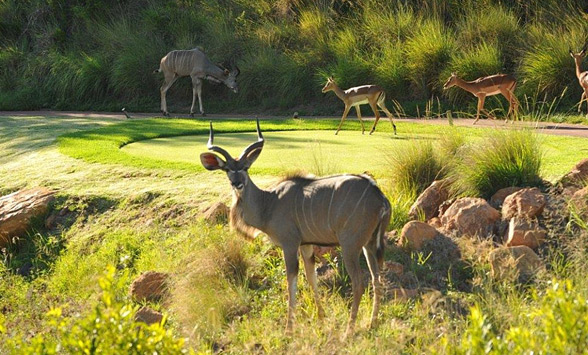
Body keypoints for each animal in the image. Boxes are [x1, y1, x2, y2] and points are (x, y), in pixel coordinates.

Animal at [200, 119, 392, 336]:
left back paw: (348, 331)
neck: (269, 202)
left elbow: (291, 281)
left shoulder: (289, 244)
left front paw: (289, 329)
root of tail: (380, 196)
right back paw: (372, 323)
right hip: (369, 244)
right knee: (376, 278)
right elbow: (311, 277)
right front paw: (322, 319)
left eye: (246, 167)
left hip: (350, 245)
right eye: (227, 169)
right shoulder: (306, 245)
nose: (237, 183)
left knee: (359, 282)